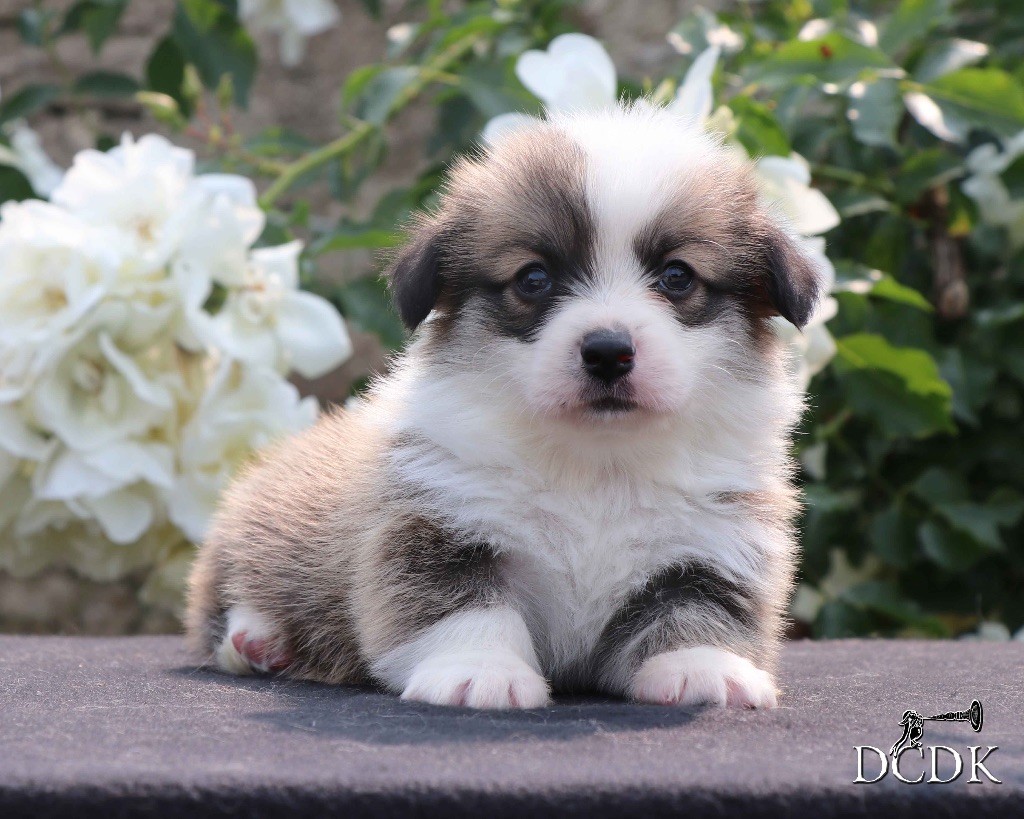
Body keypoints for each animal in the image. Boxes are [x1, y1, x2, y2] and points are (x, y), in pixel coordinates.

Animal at [186, 103, 823, 709]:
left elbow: (698, 610)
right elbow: (466, 609)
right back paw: (258, 639)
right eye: (533, 278)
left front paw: (702, 668)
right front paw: (480, 672)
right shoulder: (437, 526)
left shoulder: (713, 546)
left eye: (677, 276)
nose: (608, 352)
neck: (596, 465)